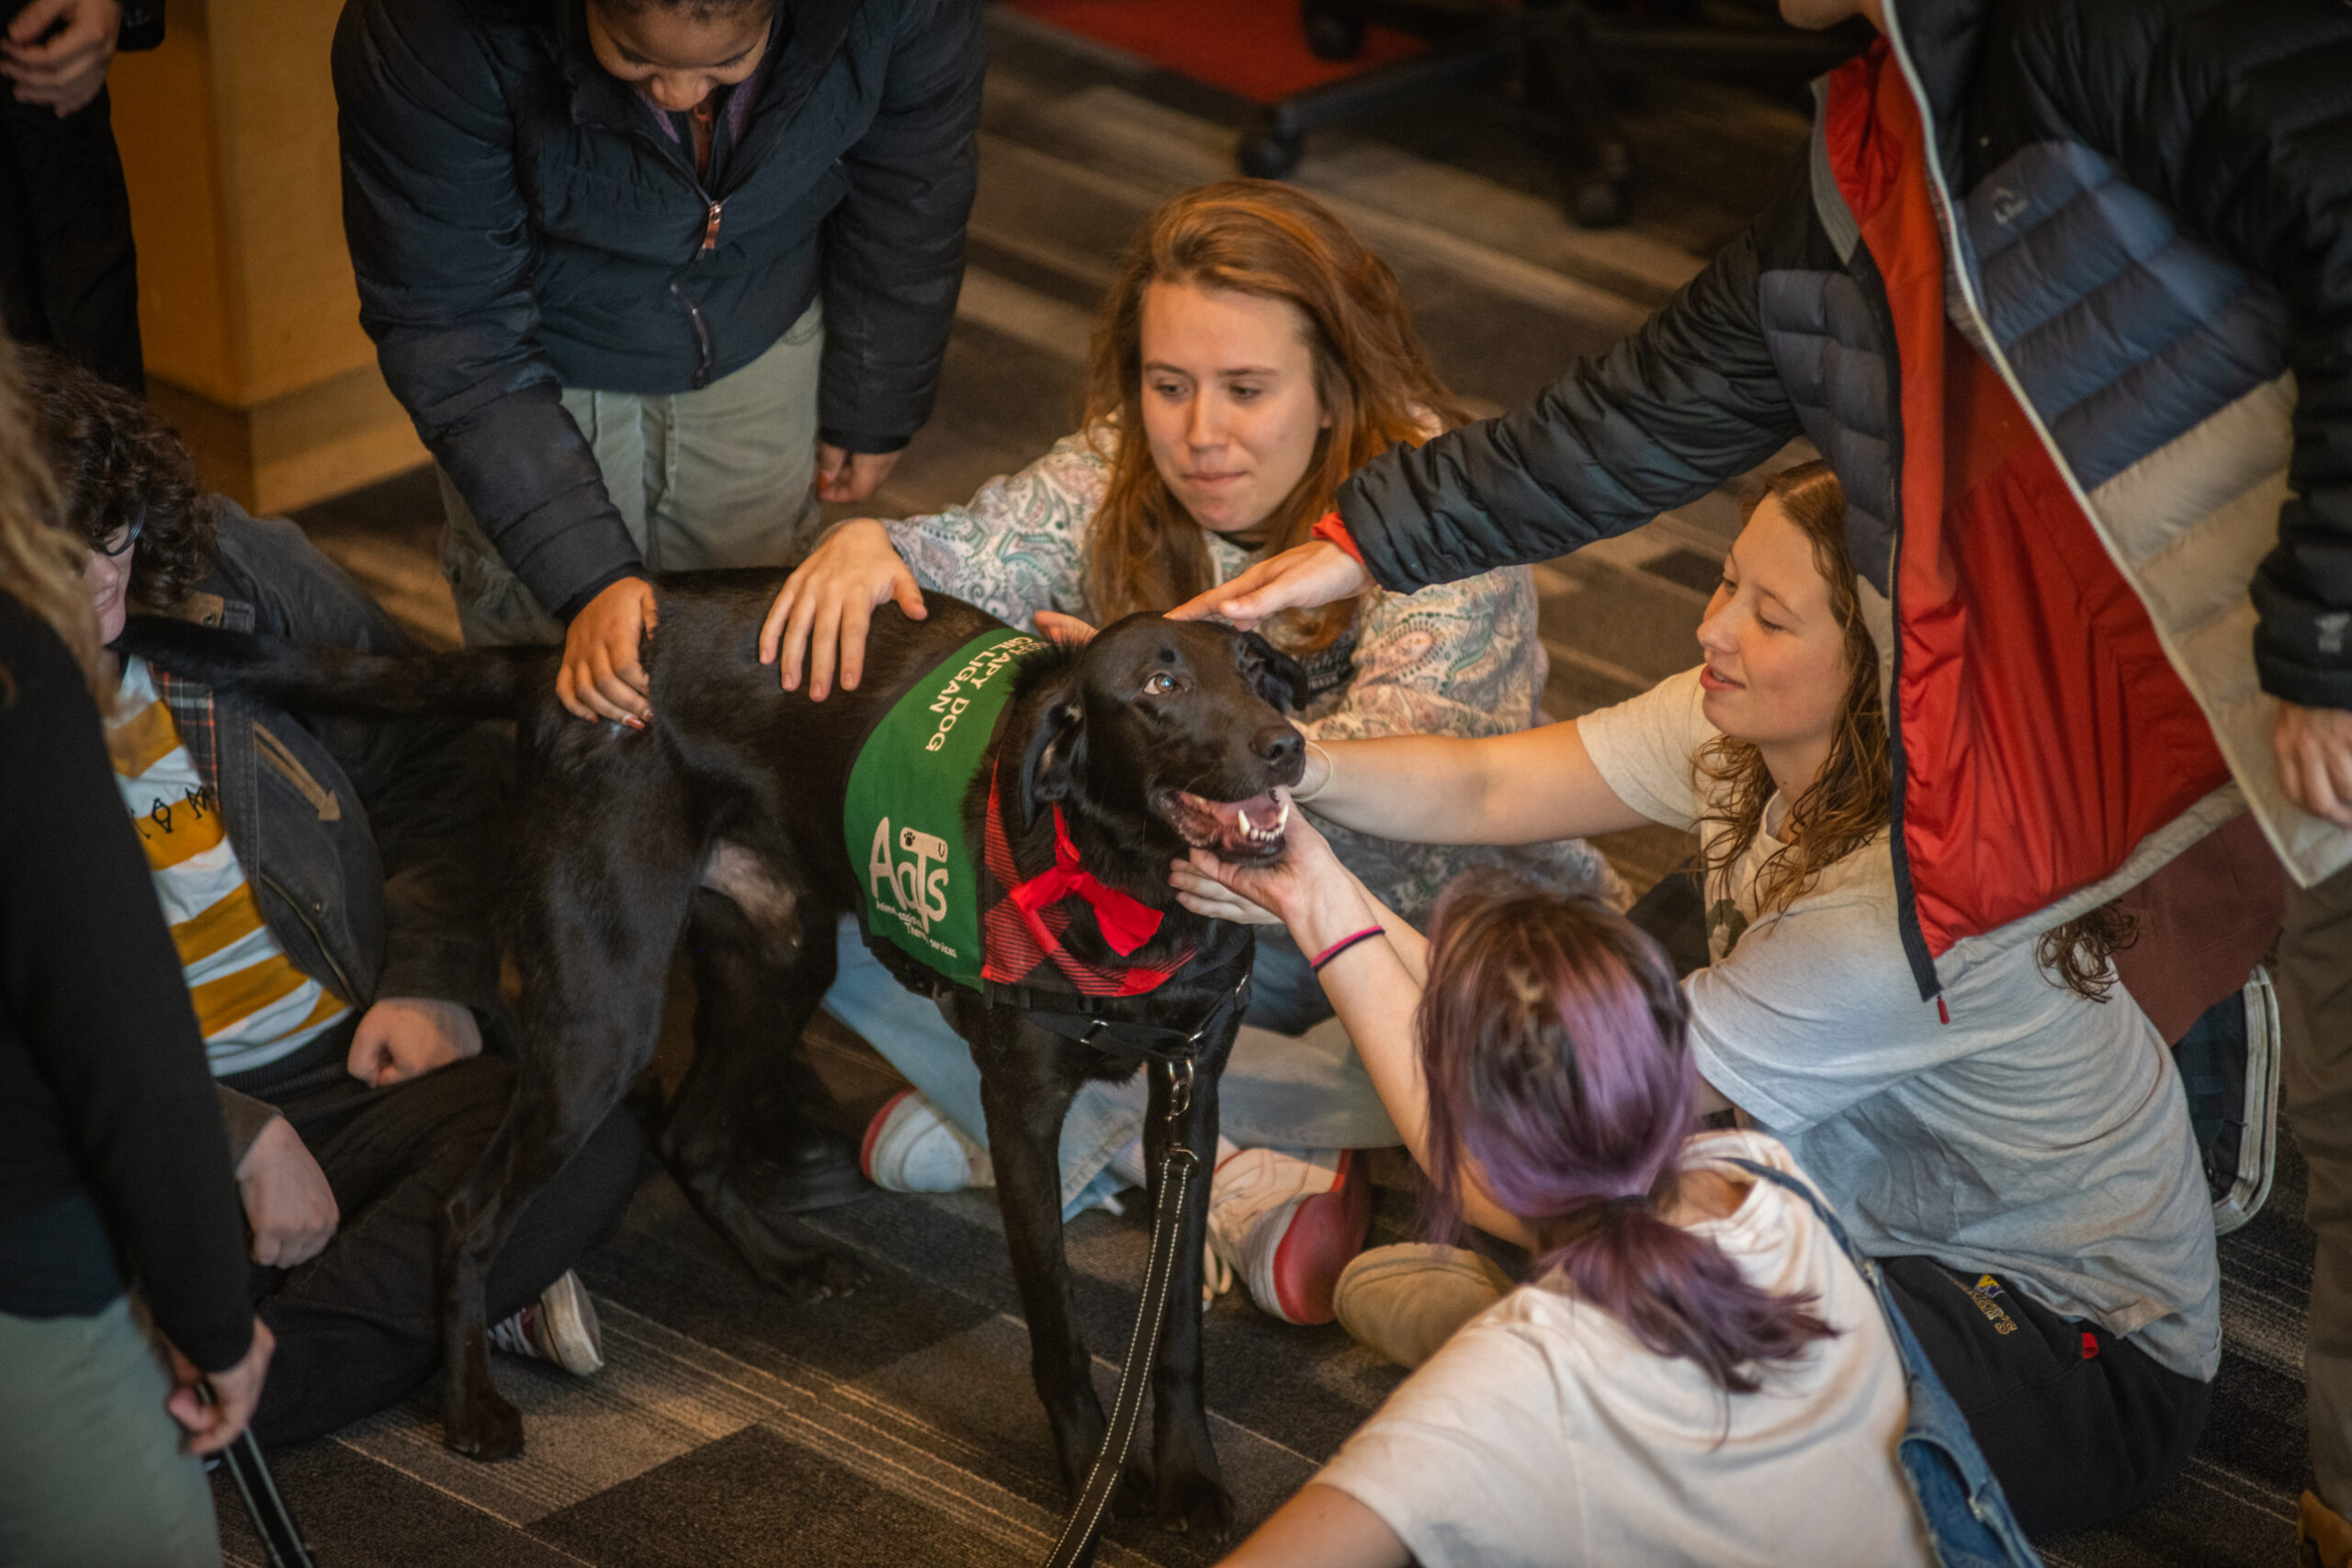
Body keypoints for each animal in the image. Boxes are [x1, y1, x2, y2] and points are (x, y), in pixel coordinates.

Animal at [129, 570, 1307, 1541]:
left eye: (1257, 669)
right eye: (1158, 681)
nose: (1287, 744)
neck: (1128, 888)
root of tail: (556, 661)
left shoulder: (1190, 1095)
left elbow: (1177, 1330)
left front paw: (1188, 1479)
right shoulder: (1019, 1112)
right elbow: (1060, 1329)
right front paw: (1090, 1485)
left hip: (778, 961)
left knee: (690, 1136)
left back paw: (780, 1264)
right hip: (602, 1022)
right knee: (469, 1210)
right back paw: (470, 1409)